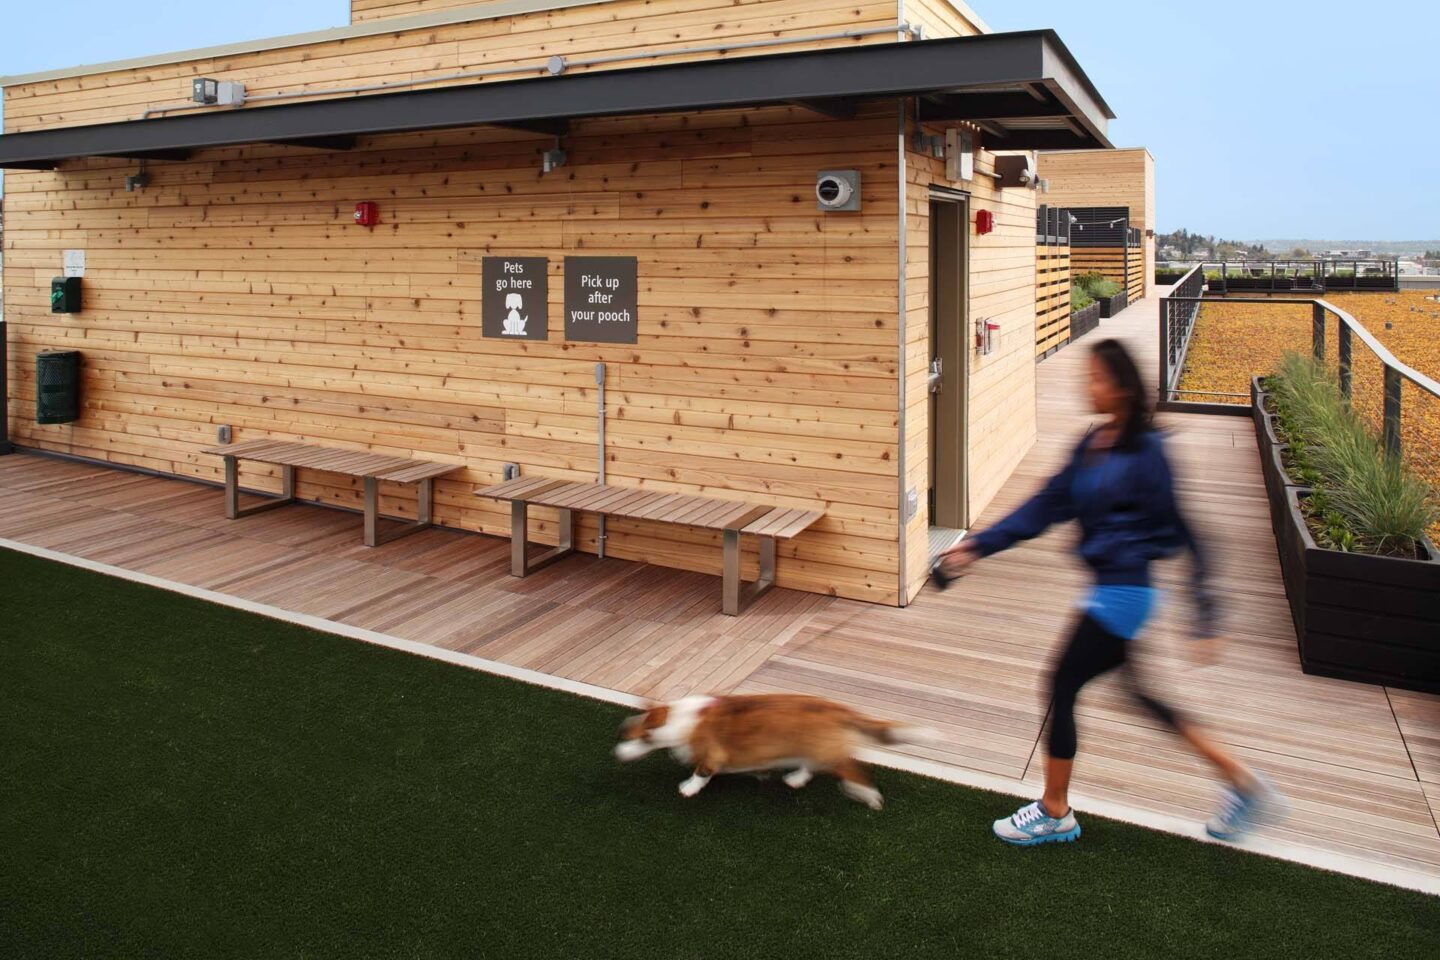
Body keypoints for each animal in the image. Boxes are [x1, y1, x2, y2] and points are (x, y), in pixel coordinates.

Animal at [613, 690, 938, 811]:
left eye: (642, 739)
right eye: (627, 733)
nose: (617, 755)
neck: (677, 718)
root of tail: (839, 710)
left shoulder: (710, 758)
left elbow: (701, 774)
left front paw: (688, 788)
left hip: (830, 753)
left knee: (851, 769)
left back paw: (868, 795)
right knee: (810, 766)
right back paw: (794, 778)